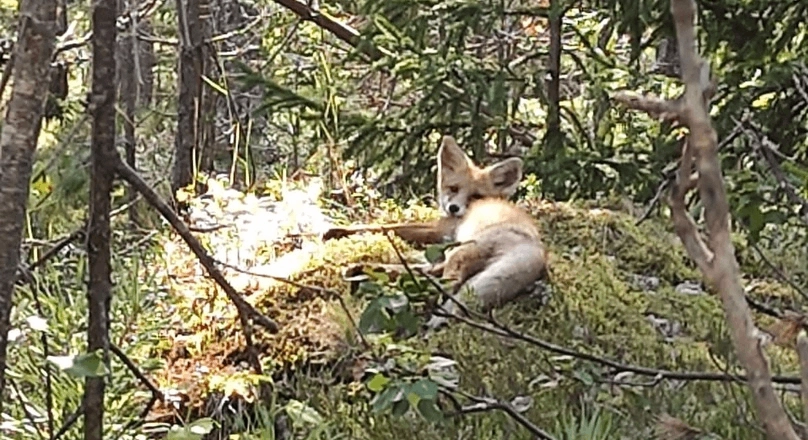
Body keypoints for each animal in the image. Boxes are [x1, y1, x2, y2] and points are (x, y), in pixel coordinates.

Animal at [322, 137, 548, 326]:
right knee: (429, 272)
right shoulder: (443, 235)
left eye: (475, 196)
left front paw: (339, 230)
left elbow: (385, 226)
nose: (454, 208)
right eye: (453, 188)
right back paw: (364, 270)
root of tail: (537, 252)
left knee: (443, 282)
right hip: (455, 254)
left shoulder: (440, 229)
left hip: (460, 252)